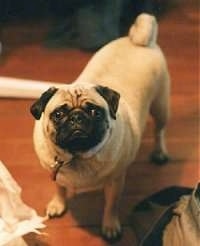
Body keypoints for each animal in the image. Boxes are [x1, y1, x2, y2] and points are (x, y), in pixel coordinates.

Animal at [30, 13, 170, 242]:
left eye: (95, 112)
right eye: (58, 114)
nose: (77, 117)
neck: (77, 157)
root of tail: (138, 41)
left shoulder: (115, 182)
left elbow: (111, 205)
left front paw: (110, 226)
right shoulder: (56, 173)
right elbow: (60, 189)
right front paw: (58, 204)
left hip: (161, 106)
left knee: (159, 130)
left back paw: (159, 153)